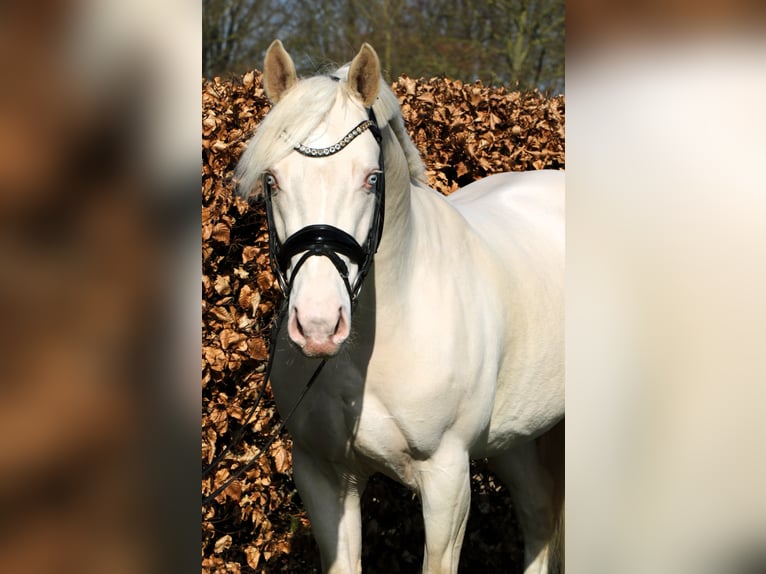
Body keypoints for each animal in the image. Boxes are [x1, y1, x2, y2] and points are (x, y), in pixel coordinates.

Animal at [237, 40, 568, 574]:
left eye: (371, 179)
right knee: (538, 516)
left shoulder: (446, 479)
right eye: (272, 179)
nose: (318, 324)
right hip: (514, 436)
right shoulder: (324, 475)